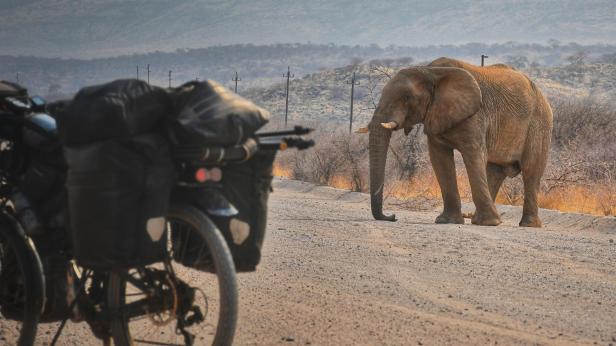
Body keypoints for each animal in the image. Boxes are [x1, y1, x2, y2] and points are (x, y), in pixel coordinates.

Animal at [360, 57, 552, 227]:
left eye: (407, 98)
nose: (392, 216)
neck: (431, 72)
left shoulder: (475, 115)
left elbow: (474, 156)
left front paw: (489, 224)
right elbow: (440, 159)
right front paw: (447, 221)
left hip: (539, 125)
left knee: (530, 171)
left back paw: (527, 225)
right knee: (495, 171)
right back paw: (479, 219)